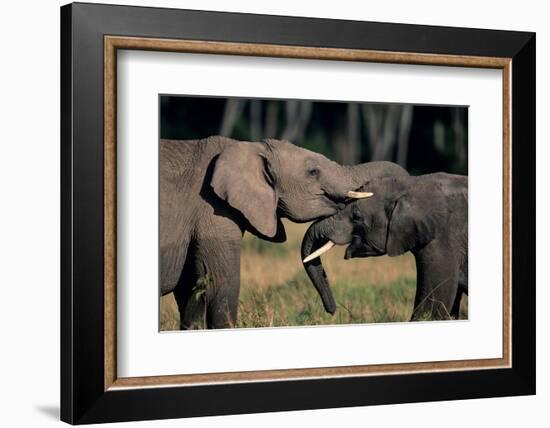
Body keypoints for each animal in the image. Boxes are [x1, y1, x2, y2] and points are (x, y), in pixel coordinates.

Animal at [161, 135, 410, 330]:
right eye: (313, 172)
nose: (333, 311)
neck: (248, 147)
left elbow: (191, 296)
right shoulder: (213, 213)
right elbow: (220, 287)